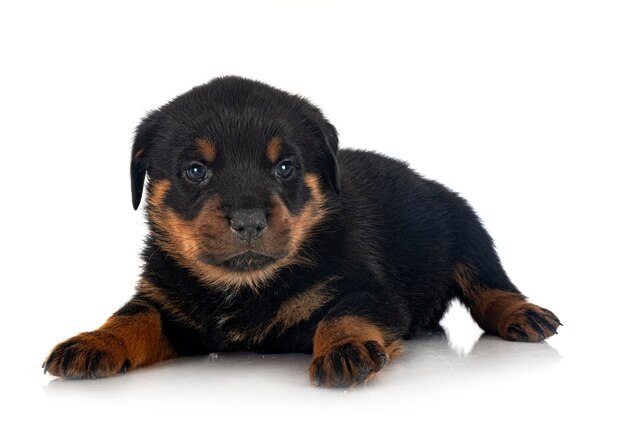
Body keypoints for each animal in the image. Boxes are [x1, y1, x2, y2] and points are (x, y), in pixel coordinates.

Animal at [44, 76, 560, 386]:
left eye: (285, 167)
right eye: (195, 171)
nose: (249, 220)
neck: (243, 286)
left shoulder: (368, 290)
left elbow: (344, 312)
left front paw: (347, 348)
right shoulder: (163, 301)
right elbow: (132, 317)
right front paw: (93, 341)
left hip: (465, 228)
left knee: (490, 282)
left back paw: (524, 314)